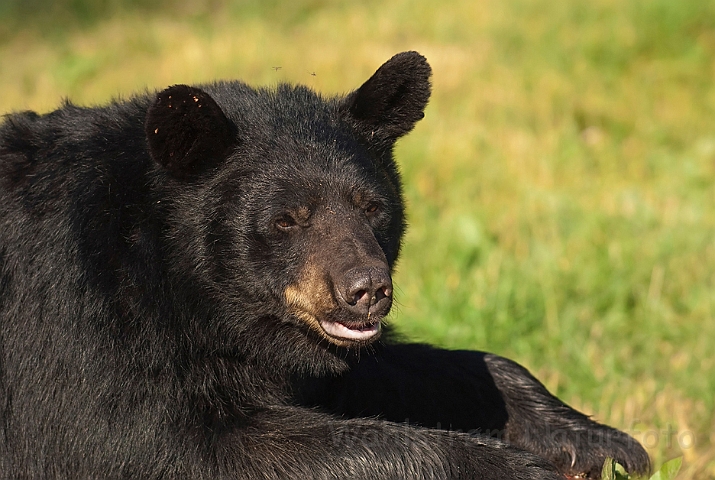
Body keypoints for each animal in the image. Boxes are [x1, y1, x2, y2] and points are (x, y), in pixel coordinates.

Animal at [0, 50, 648, 478]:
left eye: (373, 206)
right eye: (288, 219)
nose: (367, 290)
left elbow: (411, 369)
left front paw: (598, 441)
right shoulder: (77, 320)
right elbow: (146, 442)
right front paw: (514, 467)